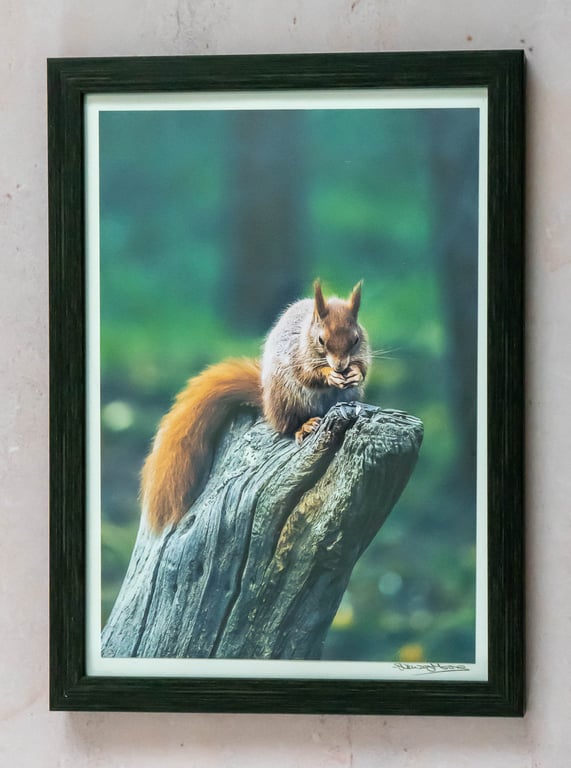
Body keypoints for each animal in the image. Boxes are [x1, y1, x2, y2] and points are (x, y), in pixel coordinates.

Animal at [140, 280, 371, 532]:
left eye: (355, 339)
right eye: (321, 340)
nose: (340, 367)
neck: (306, 332)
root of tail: (267, 401)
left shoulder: (363, 351)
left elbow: (364, 366)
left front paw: (355, 372)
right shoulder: (297, 354)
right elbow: (308, 374)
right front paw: (329, 374)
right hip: (286, 398)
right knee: (285, 427)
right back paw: (304, 426)